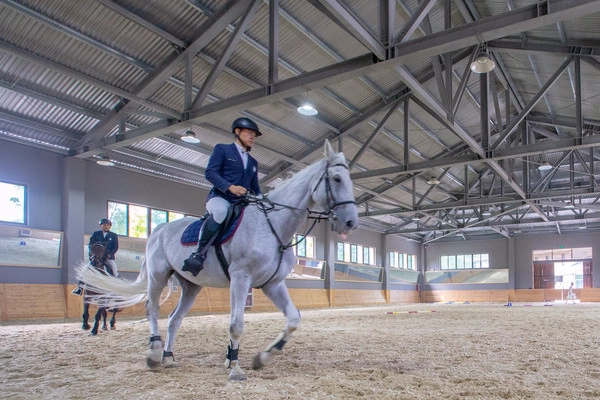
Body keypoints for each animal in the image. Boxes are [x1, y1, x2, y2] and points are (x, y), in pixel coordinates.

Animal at [78, 139, 360, 380]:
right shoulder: (241, 278)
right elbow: (236, 324)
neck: (272, 225)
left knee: (174, 319)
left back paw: (169, 357)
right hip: (159, 276)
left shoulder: (273, 283)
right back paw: (154, 355)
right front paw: (234, 366)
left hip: (191, 286)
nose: (350, 223)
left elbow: (293, 319)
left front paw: (262, 358)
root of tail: (159, 230)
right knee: (153, 310)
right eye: (336, 178)